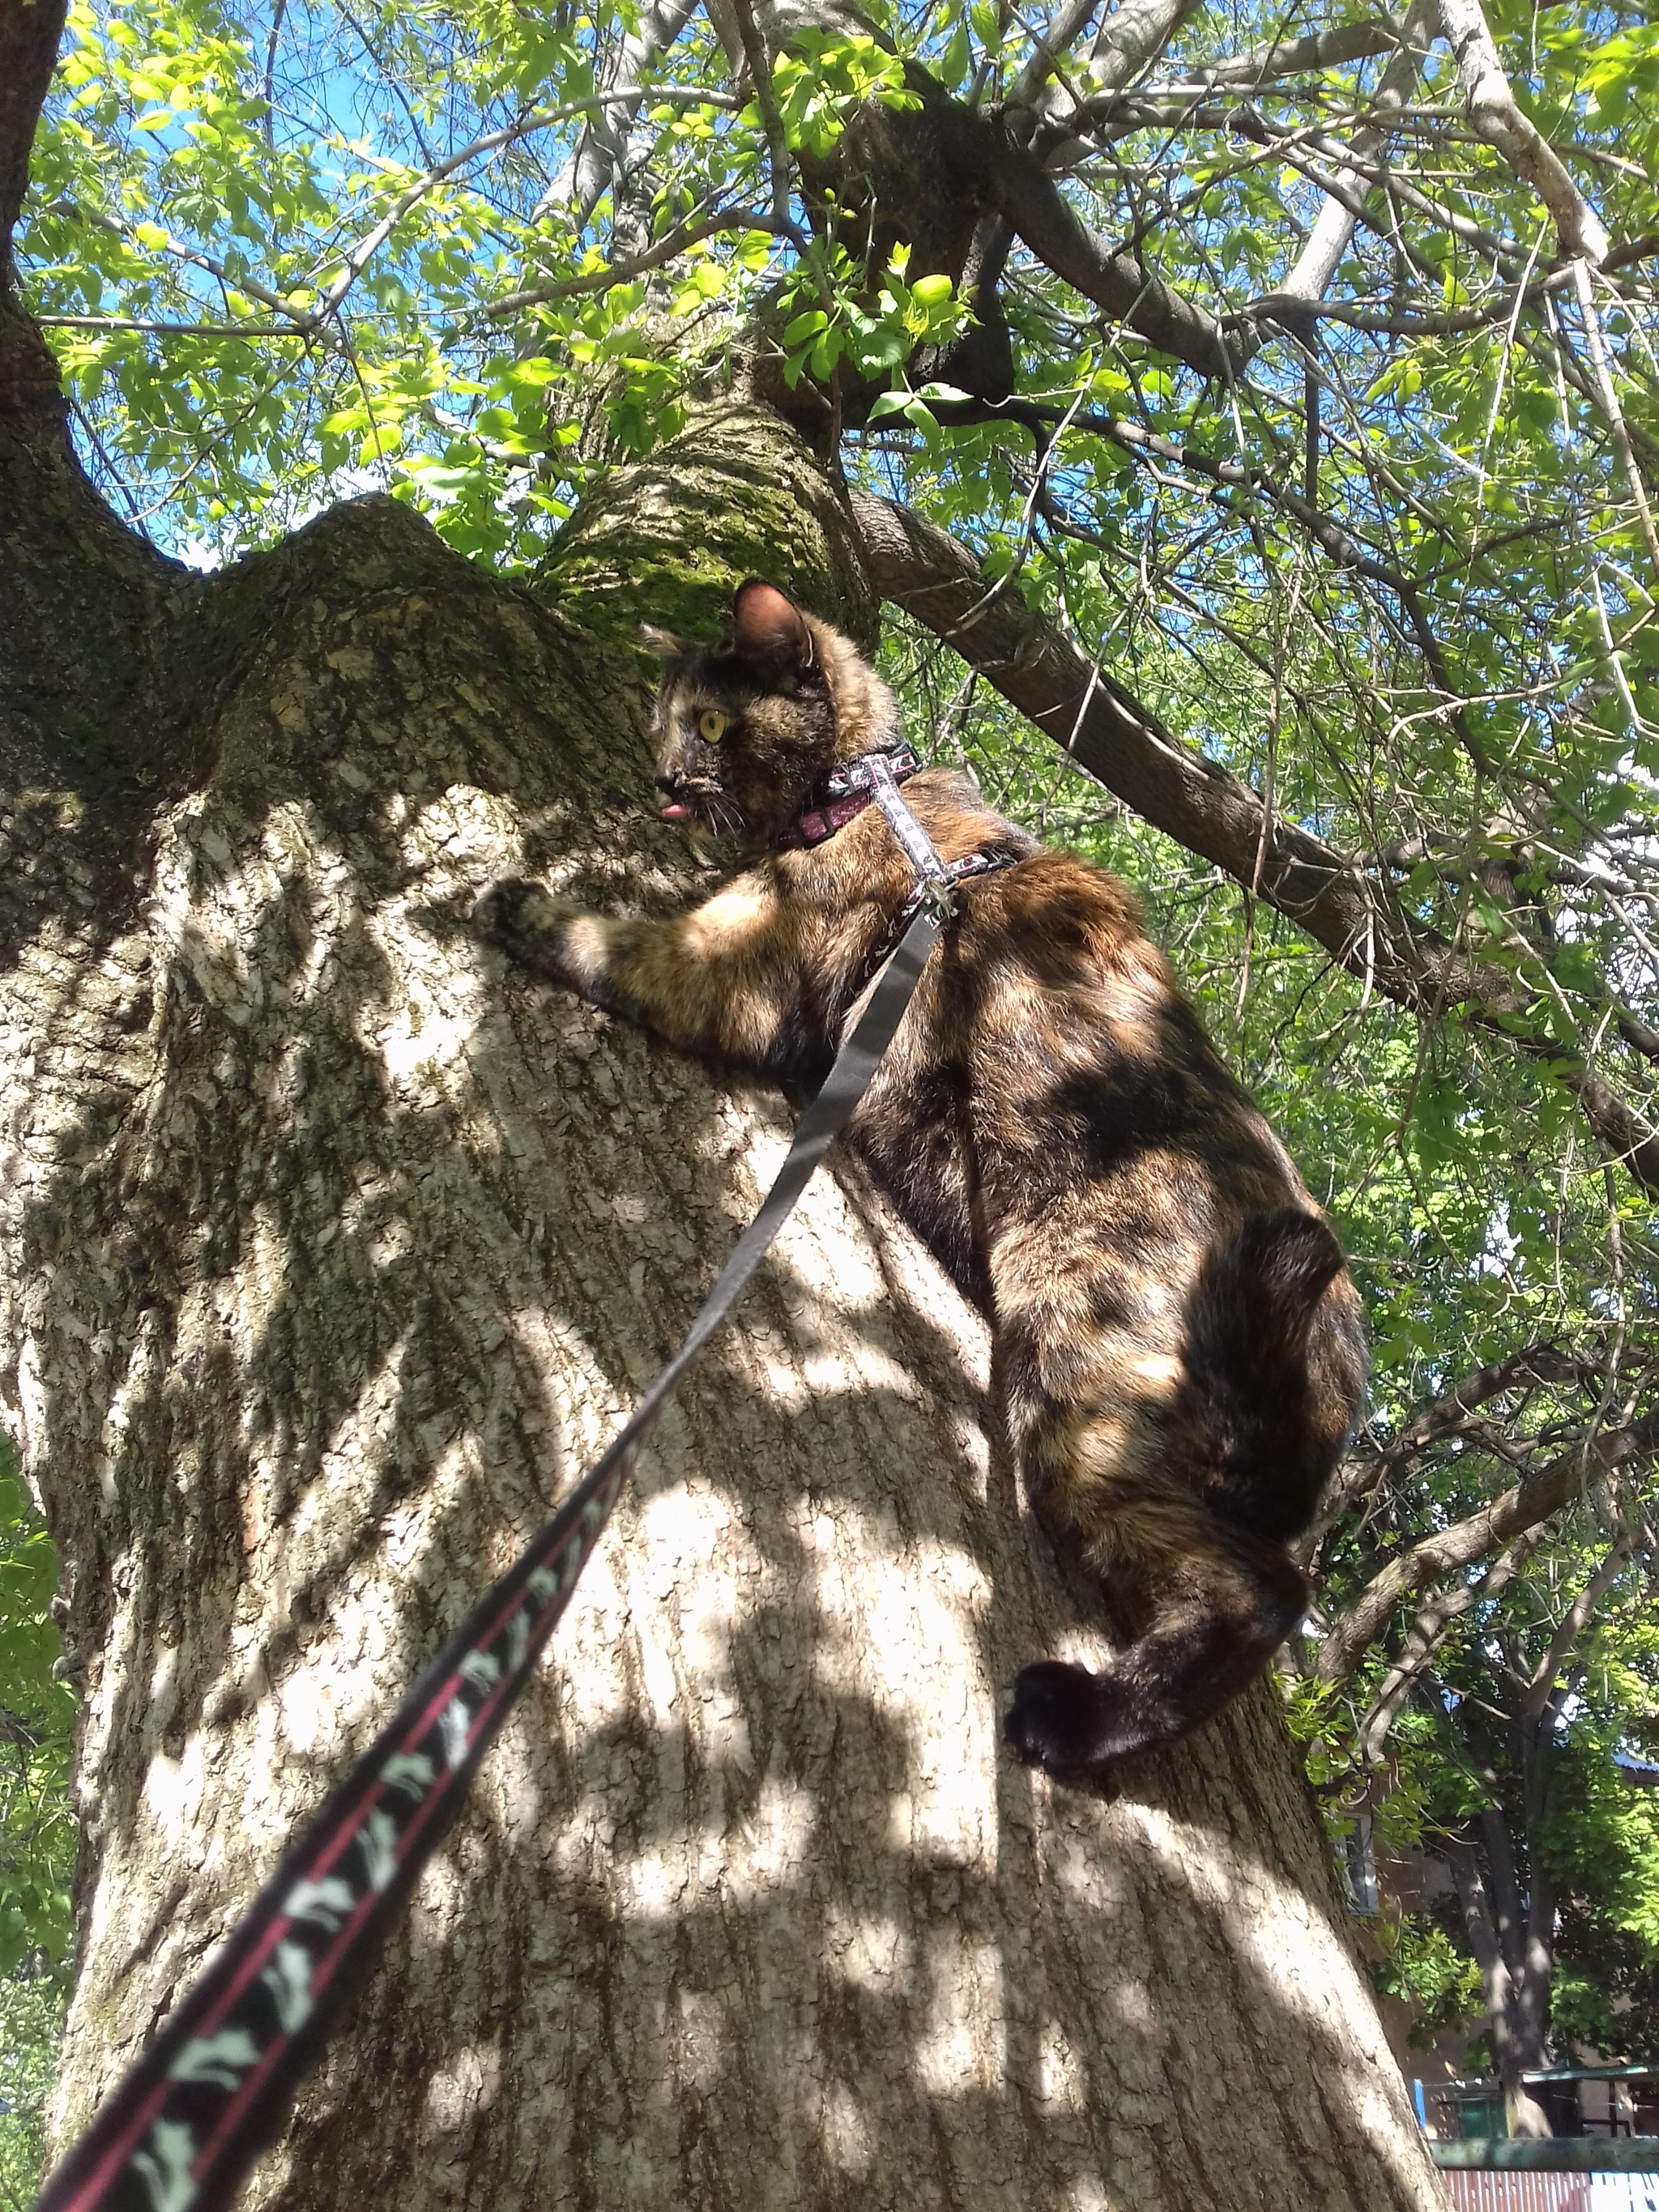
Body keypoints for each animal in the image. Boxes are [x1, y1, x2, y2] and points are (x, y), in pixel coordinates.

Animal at [477, 575, 1363, 1778]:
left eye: (709, 722)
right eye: (661, 720)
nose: (664, 777)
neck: (863, 796)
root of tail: (1332, 1362)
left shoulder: (727, 973)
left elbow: (616, 944)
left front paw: (515, 905)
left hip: (1076, 1373)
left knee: (1258, 1592)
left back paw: (1075, 1716)